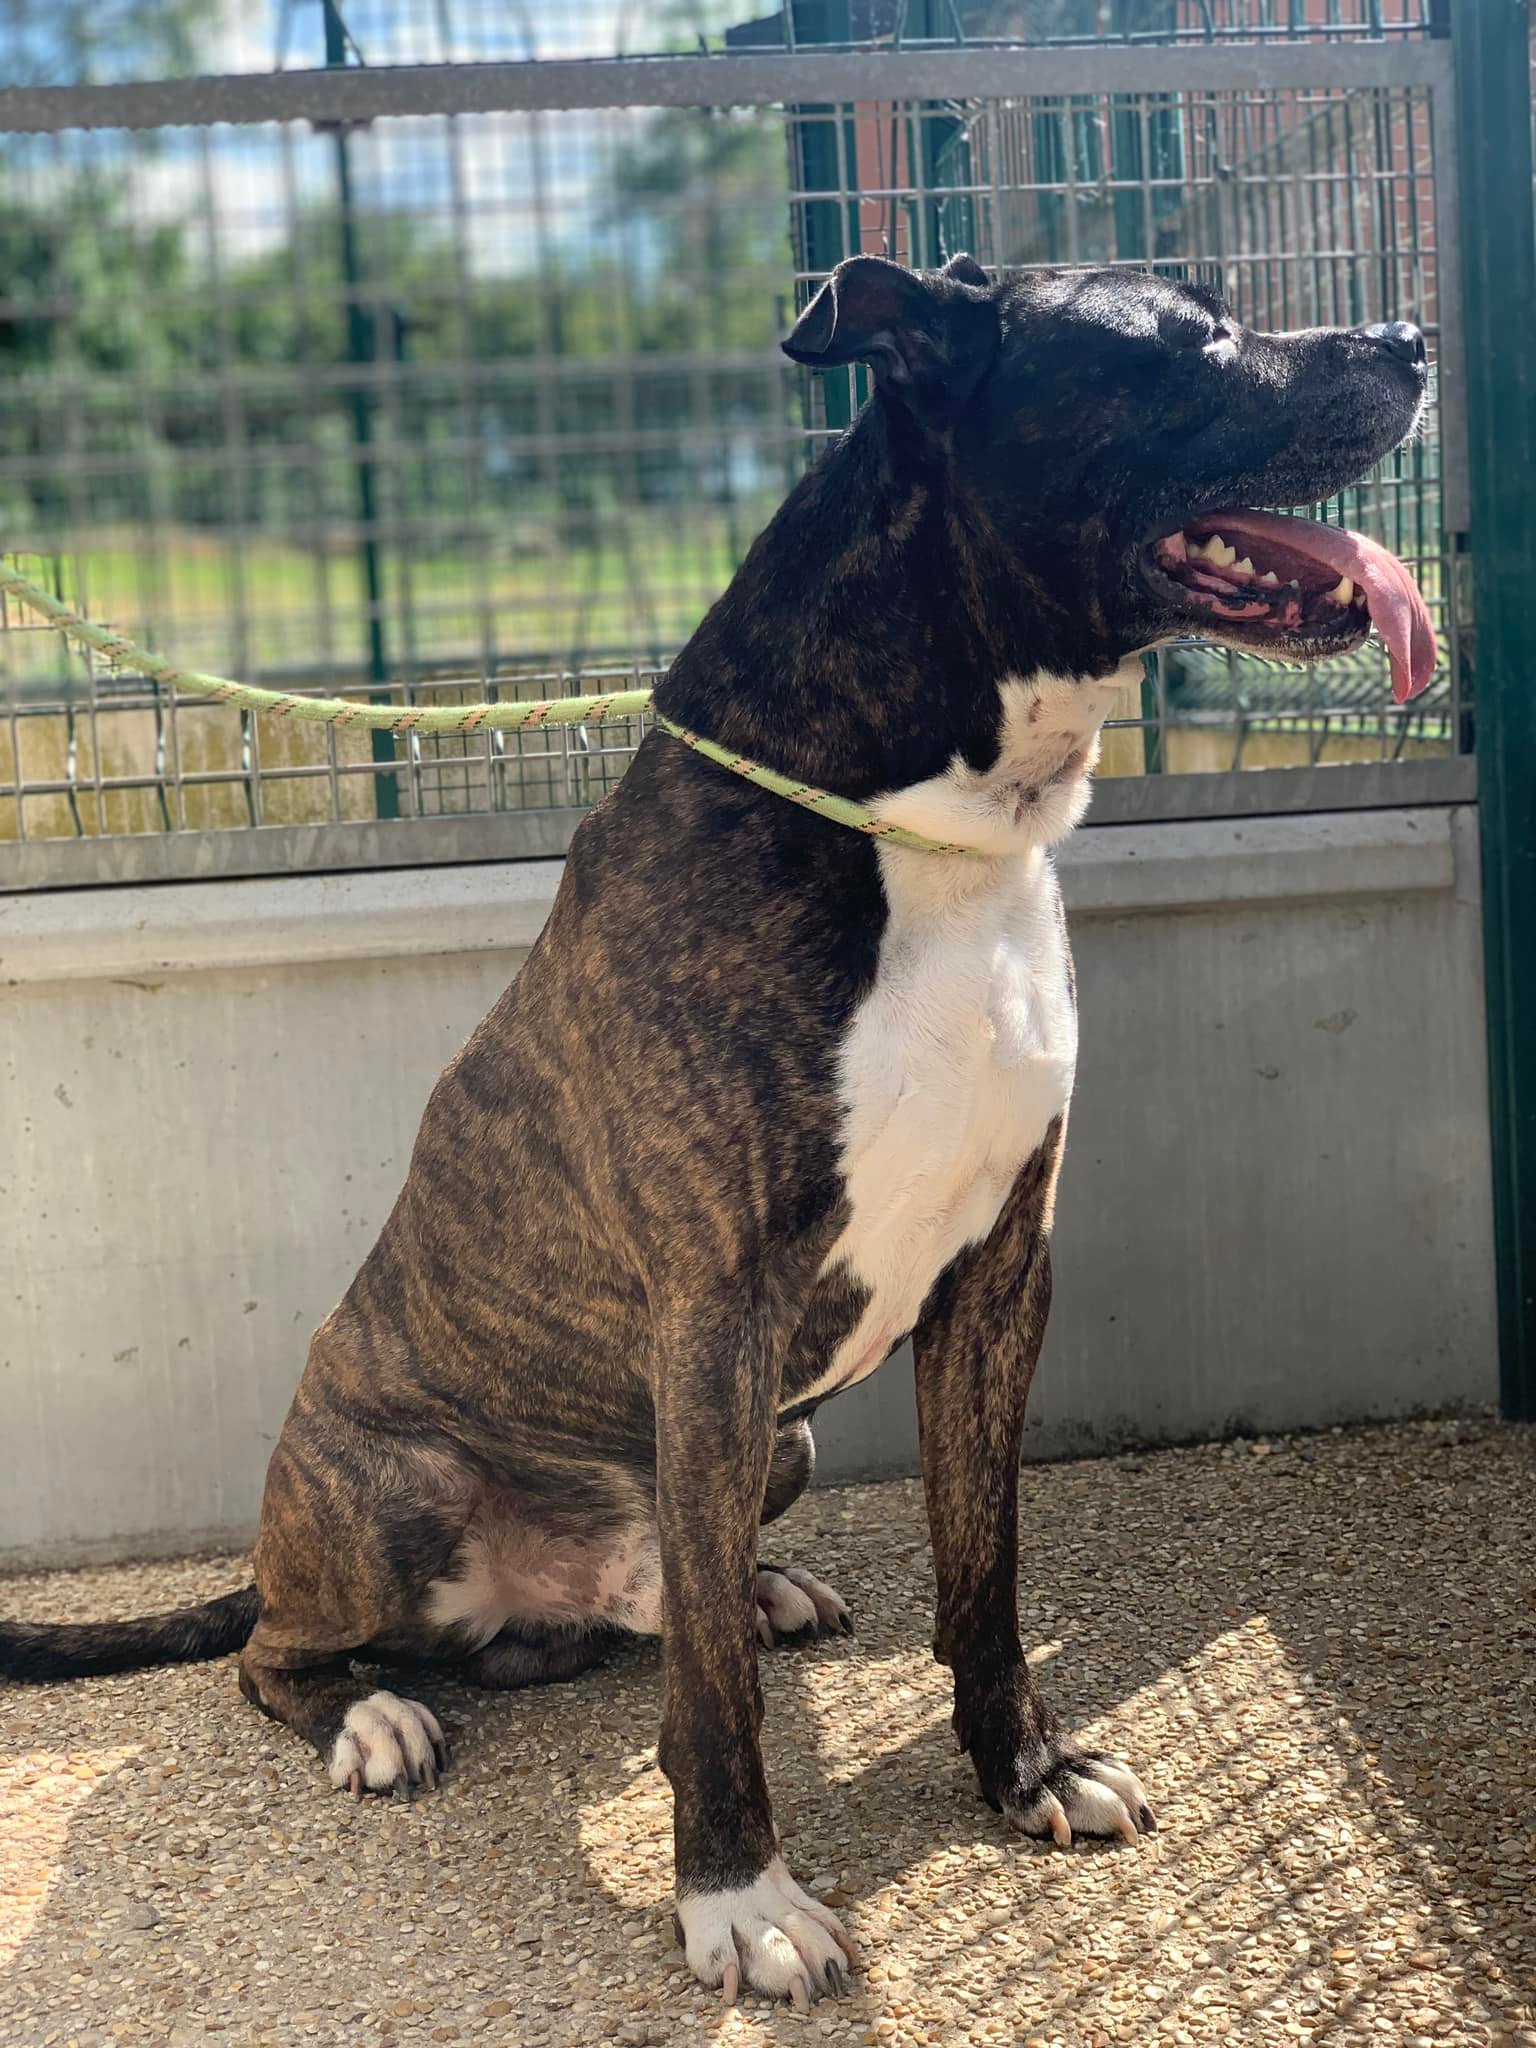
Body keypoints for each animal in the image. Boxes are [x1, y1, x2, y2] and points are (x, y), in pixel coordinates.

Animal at [2, 256, 1431, 2008]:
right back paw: (377, 1711)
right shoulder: (717, 1313)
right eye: (1185, 341)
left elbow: (986, 1565)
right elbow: (718, 1715)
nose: (1411, 338)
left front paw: (1022, 1767)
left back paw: (749, 1589)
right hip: (397, 1485)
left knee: (653, 1608)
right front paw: (736, 1898)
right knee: (286, 1654)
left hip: (778, 1441)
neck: (925, 828)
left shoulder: (1001, 1273)